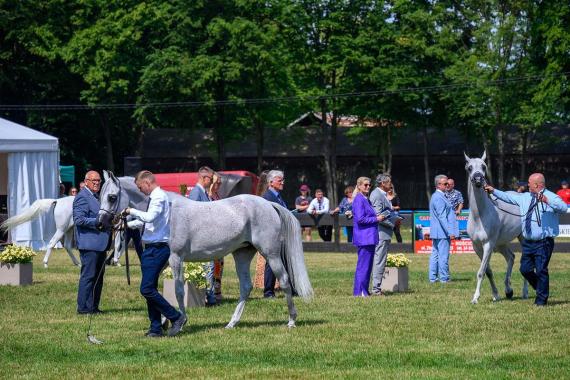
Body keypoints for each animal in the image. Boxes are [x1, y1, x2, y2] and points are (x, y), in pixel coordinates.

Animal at [96, 172, 312, 330]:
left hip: (271, 254)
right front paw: (166, 321)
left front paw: (179, 322)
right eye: (100, 195)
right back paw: (232, 323)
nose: (101, 224)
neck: (166, 214)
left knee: (284, 281)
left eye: (112, 197)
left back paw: (291, 320)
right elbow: (155, 290)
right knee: (246, 287)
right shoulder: (163, 262)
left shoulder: (176, 259)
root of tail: (268, 204)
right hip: (242, 254)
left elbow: (178, 290)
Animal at [464, 151, 524, 302]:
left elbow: (481, 272)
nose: (478, 179)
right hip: (501, 244)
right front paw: (496, 295)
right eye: (469, 168)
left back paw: (524, 292)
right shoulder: (477, 247)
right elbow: (488, 271)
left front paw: (475, 298)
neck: (480, 216)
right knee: (511, 257)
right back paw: (508, 290)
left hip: (523, 238)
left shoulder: (488, 244)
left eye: (484, 167)